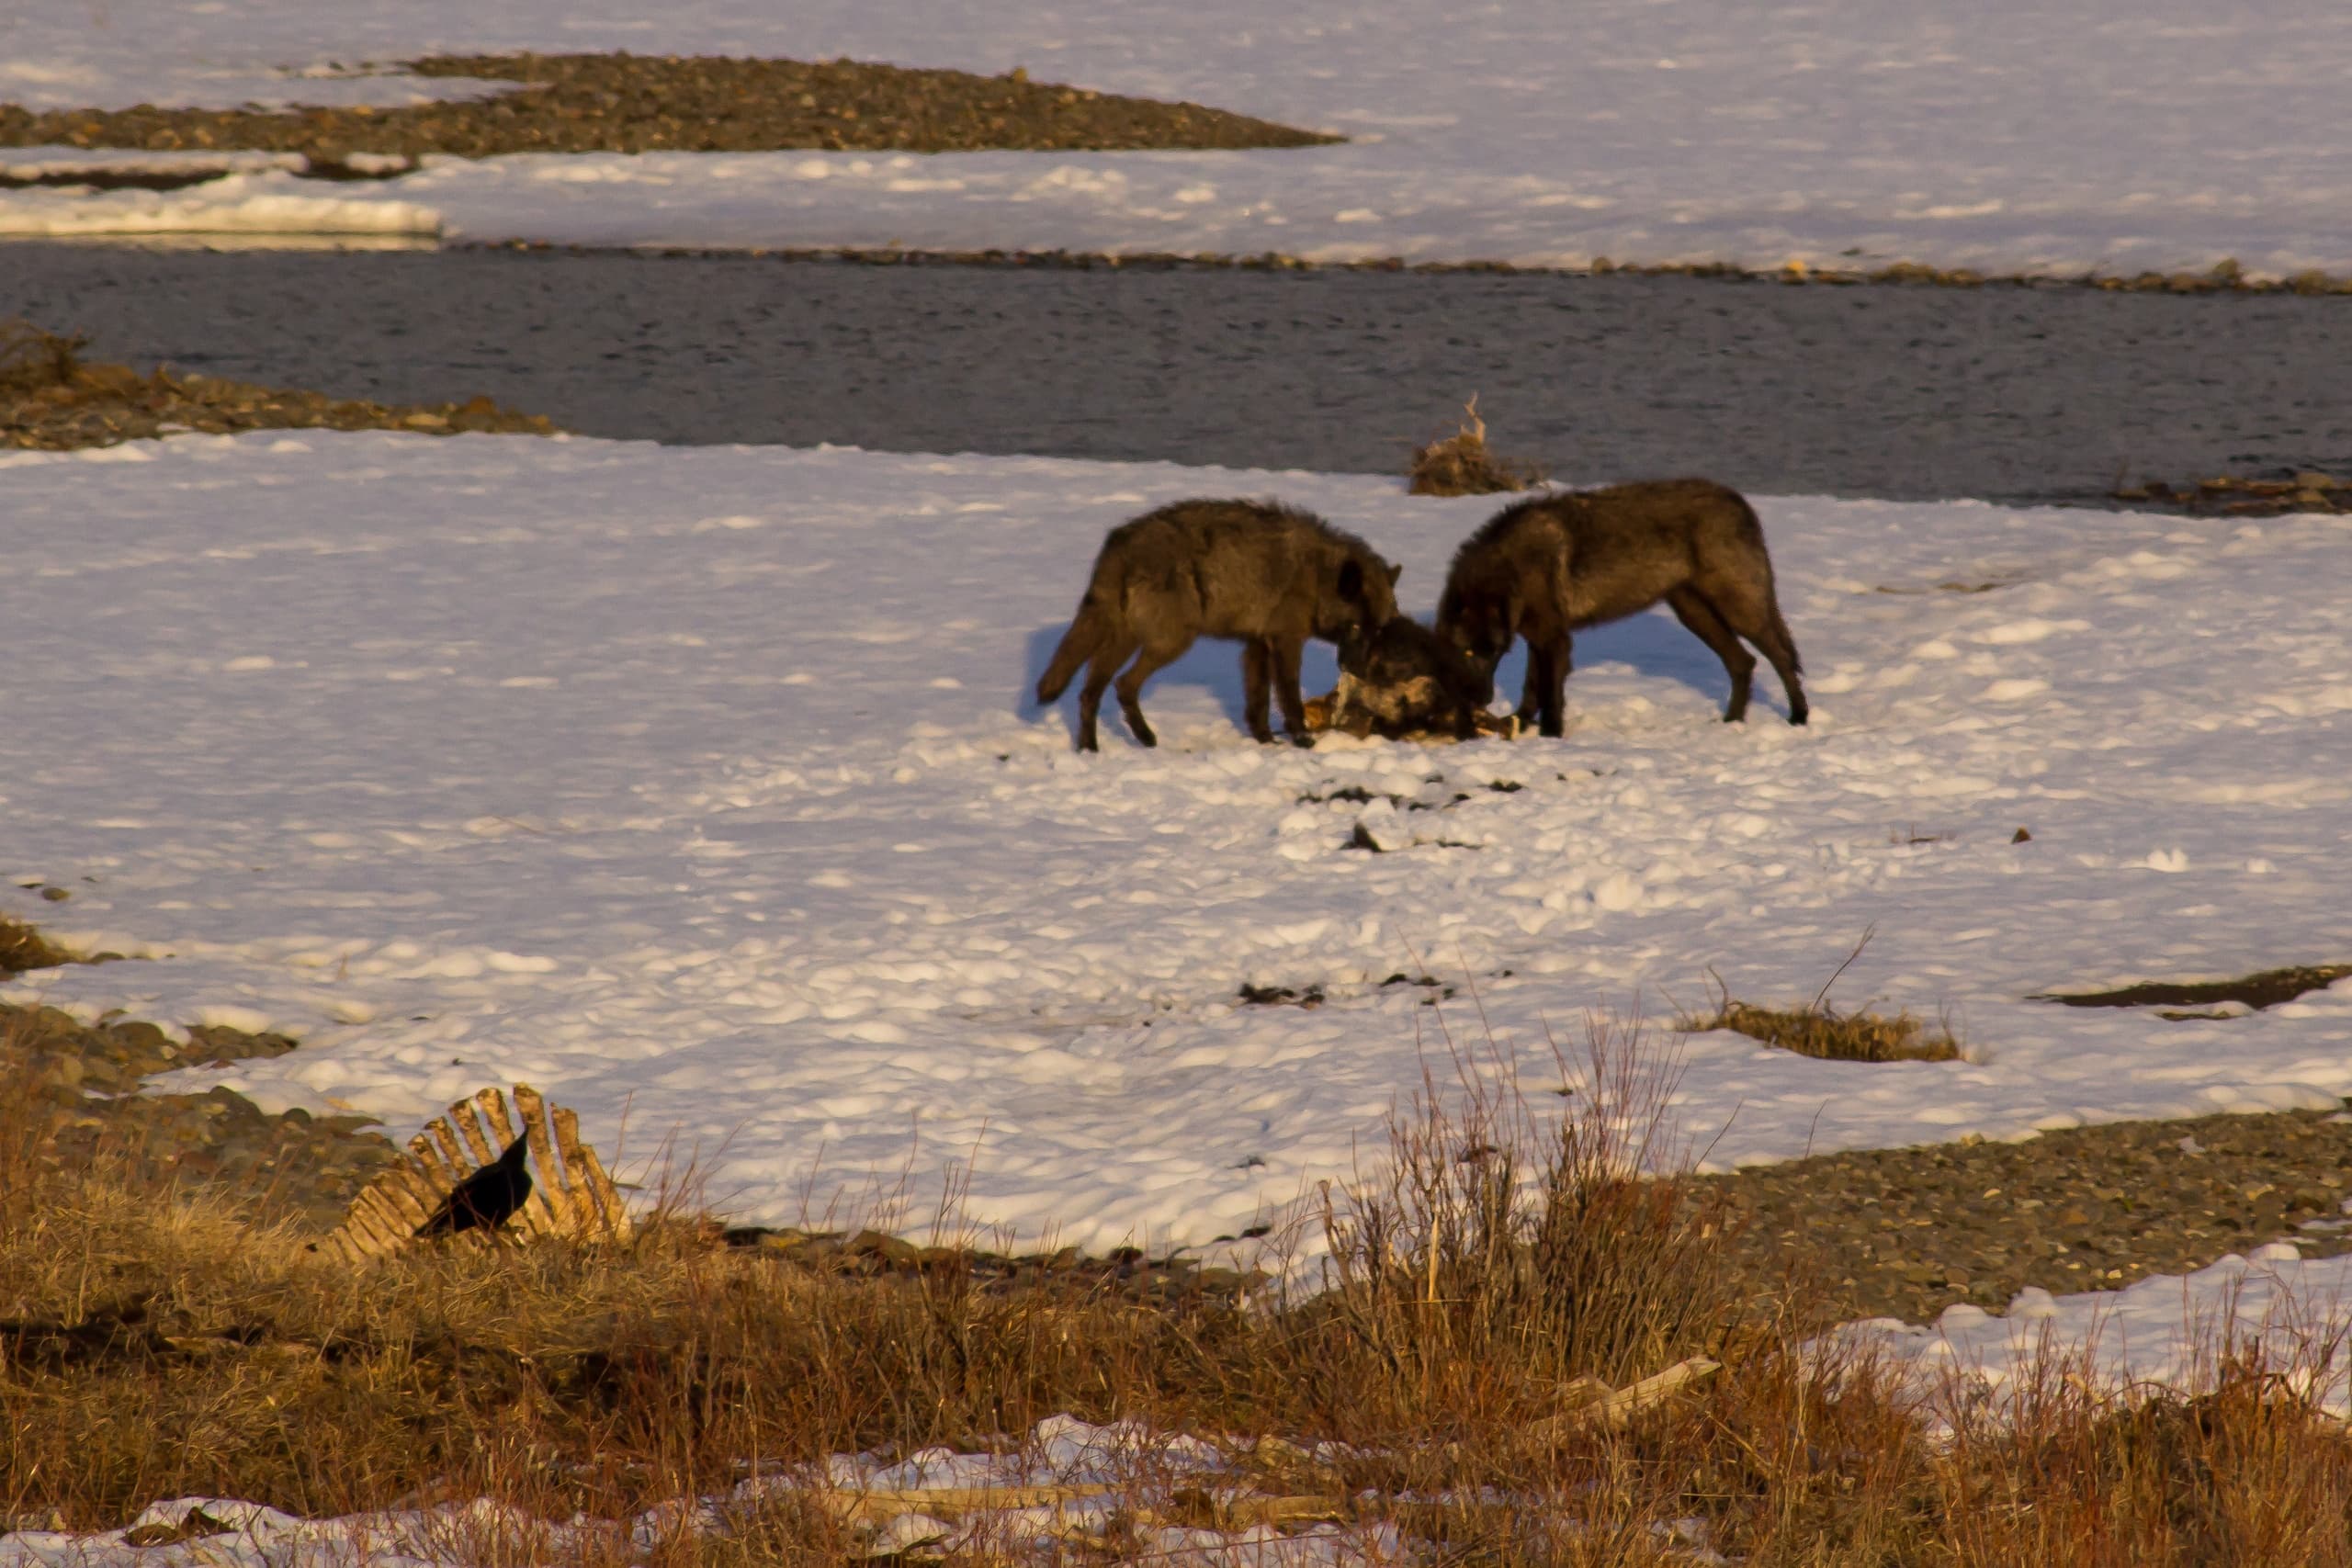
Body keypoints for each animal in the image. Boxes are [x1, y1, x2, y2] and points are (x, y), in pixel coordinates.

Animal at [1035, 498, 1402, 752]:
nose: (1358, 670)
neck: (1316, 576)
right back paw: (1144, 737)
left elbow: (1258, 701)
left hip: (1128, 641)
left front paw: (1265, 741)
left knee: (1090, 692)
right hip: (1171, 643)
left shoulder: (1256, 645)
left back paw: (1090, 750)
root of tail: (1119, 544)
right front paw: (1301, 739)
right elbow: (1288, 695)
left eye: (1378, 630)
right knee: (1123, 684)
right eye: (1354, 628)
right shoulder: (1286, 642)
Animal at [1435, 479, 1806, 738]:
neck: (1510, 568)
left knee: (1782, 659)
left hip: (1740, 612)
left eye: (1493, 654)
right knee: (1744, 662)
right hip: (1694, 615)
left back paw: (1799, 717)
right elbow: (1531, 687)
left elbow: (1550, 693)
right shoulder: (1538, 637)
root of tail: (1740, 500)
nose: (1483, 699)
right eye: (1468, 653)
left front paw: (1551, 736)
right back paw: (1732, 723)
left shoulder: (1555, 640)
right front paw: (1520, 723)